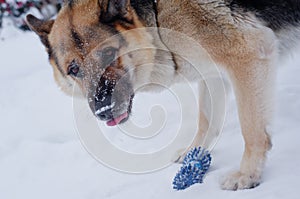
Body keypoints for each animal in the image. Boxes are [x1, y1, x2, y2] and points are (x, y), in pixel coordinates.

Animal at [25, 0, 300, 190]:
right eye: (74, 70)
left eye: (108, 54)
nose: (103, 111)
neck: (157, 18)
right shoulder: (211, 72)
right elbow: (205, 120)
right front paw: (193, 152)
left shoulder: (247, 54)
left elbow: (252, 131)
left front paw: (248, 175)